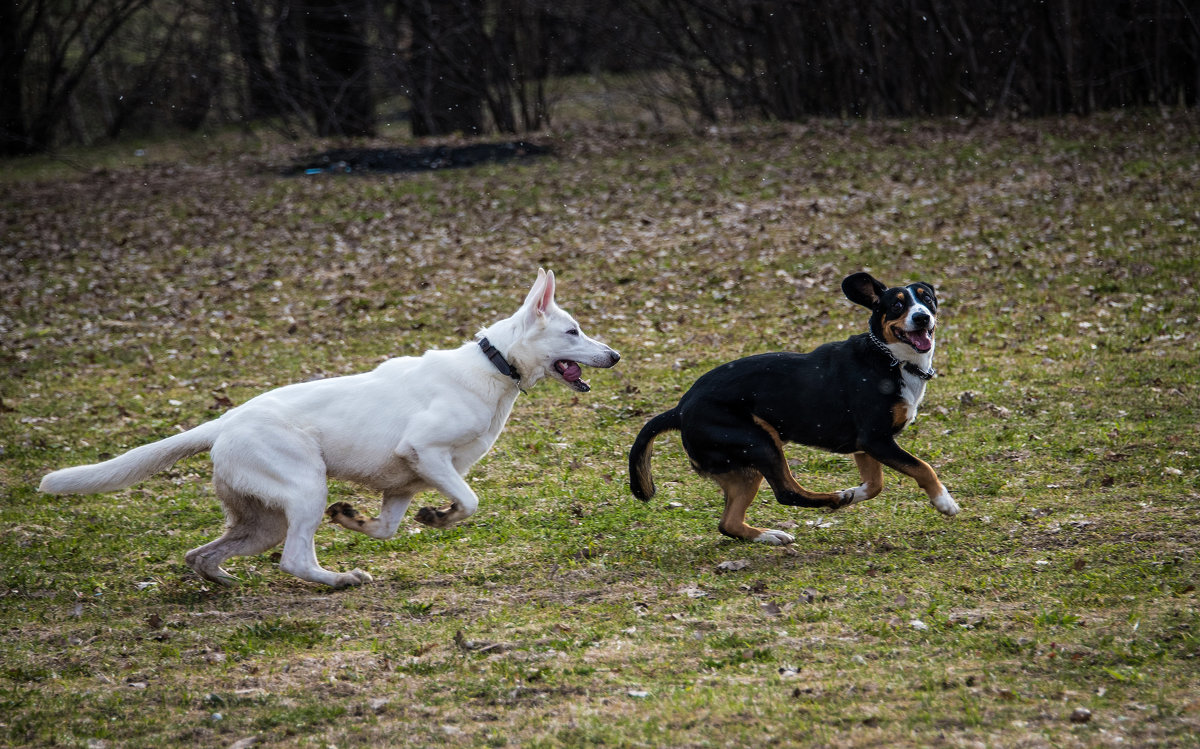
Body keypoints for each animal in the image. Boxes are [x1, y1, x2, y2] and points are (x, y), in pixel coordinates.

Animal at [39, 272, 619, 588]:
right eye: (573, 331)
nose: (615, 356)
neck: (494, 366)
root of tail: (226, 420)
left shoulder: (402, 484)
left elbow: (386, 528)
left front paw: (367, 519)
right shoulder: (426, 452)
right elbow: (471, 501)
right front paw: (441, 516)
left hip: (264, 521)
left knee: (203, 554)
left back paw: (221, 577)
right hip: (304, 490)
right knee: (294, 560)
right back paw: (339, 580)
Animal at [628, 272, 955, 540]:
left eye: (927, 299)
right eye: (898, 306)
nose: (922, 317)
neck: (891, 358)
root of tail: (680, 409)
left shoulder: (865, 446)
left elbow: (875, 484)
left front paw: (853, 492)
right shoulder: (876, 439)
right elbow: (923, 467)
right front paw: (944, 501)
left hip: (747, 464)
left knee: (728, 523)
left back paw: (769, 534)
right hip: (760, 442)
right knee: (787, 492)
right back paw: (831, 499)